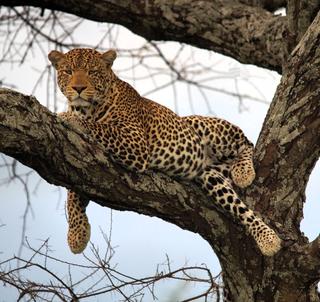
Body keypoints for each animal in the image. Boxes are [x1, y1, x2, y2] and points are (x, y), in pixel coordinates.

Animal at [48, 47, 282, 258]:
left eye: (92, 72)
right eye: (68, 71)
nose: (78, 88)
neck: (86, 108)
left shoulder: (135, 143)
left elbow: (98, 127)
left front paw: (69, 118)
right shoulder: (81, 154)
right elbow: (72, 192)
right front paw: (77, 234)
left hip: (202, 126)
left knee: (245, 142)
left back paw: (246, 179)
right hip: (210, 177)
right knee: (239, 208)